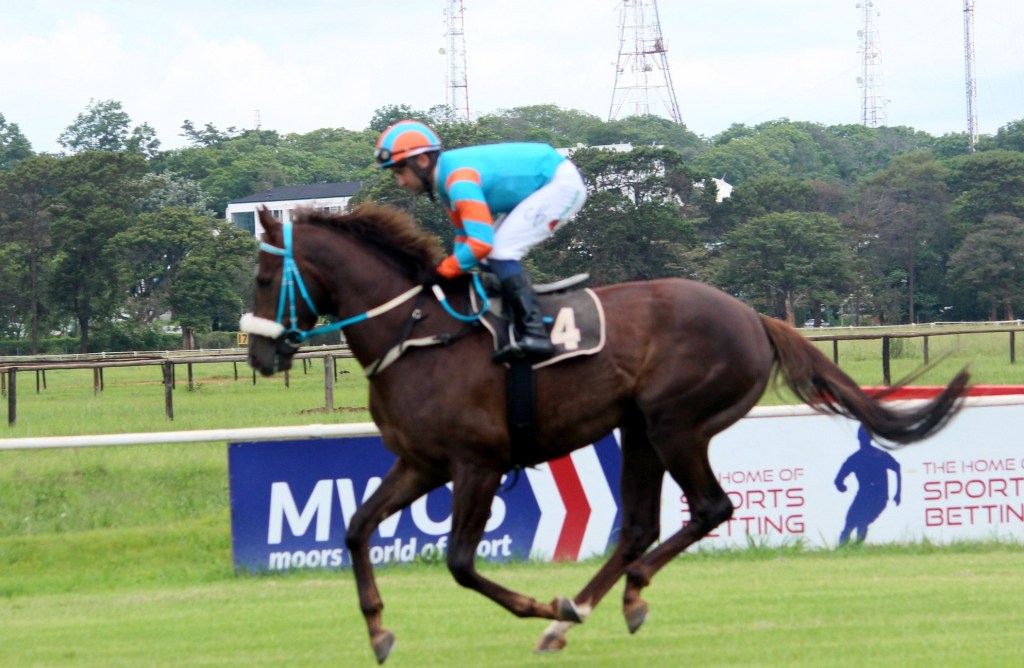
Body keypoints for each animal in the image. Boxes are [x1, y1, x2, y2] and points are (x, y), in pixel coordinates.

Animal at [243, 203, 968, 664]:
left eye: (261, 276)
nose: (259, 354)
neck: (419, 335)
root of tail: (754, 316)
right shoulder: (420, 464)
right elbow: (356, 529)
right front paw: (377, 632)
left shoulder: (477, 464)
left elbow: (460, 563)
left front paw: (541, 608)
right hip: (639, 430)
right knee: (640, 526)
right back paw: (591, 609)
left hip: (676, 423)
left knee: (709, 508)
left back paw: (600, 604)